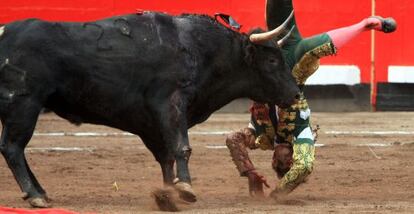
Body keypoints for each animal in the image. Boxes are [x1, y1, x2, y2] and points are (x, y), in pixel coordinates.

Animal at [0, 12, 300, 207]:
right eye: (272, 60)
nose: (296, 93)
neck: (199, 48)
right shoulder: (172, 102)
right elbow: (180, 146)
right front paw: (185, 188)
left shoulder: (152, 123)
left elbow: (165, 155)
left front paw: (168, 192)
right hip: (24, 104)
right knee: (13, 148)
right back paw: (35, 195)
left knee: (15, 149)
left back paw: (41, 192)